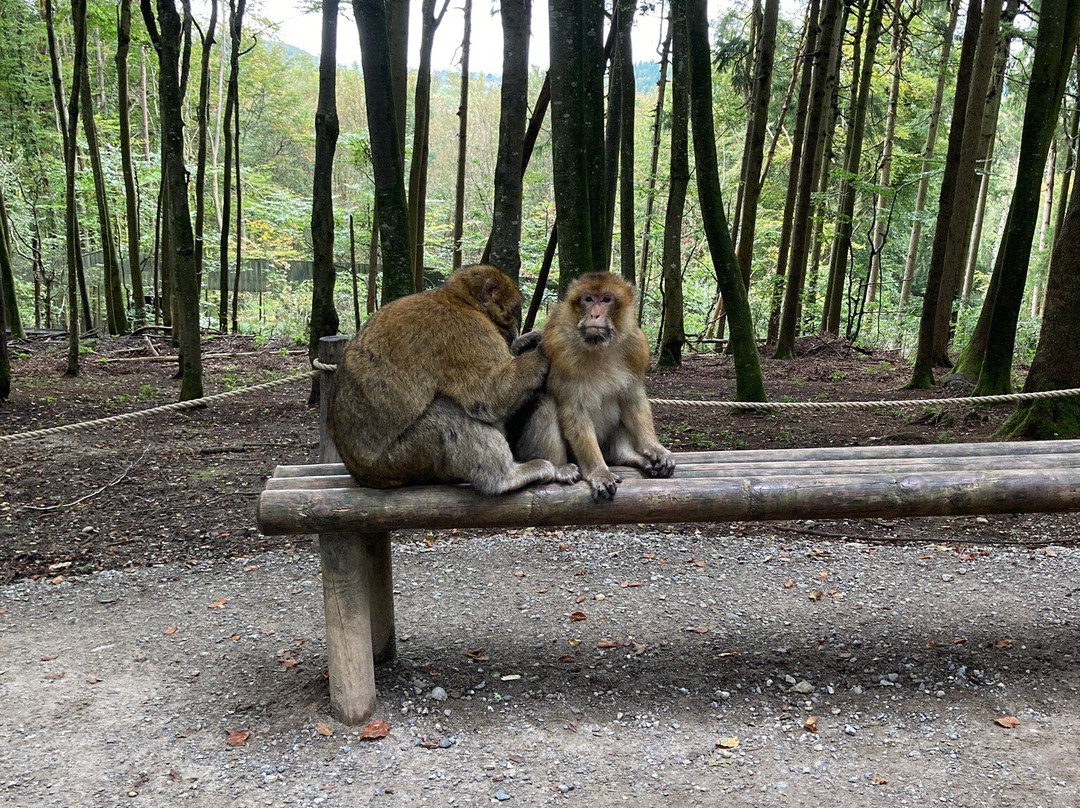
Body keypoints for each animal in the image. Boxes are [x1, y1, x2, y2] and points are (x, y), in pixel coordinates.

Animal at [328, 264, 581, 495]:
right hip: (402, 461)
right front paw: (543, 351)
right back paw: (506, 478)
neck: (459, 300)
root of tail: (364, 476)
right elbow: (488, 397)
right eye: (513, 310)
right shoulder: (467, 332)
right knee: (447, 413)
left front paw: (526, 343)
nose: (516, 328)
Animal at [511, 272, 675, 501]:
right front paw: (599, 472)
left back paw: (629, 457)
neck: (599, 347)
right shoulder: (561, 349)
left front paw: (654, 448)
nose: (595, 315)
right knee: (547, 404)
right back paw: (560, 468)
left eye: (606, 299)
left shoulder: (635, 346)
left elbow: (633, 398)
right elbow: (574, 410)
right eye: (588, 299)